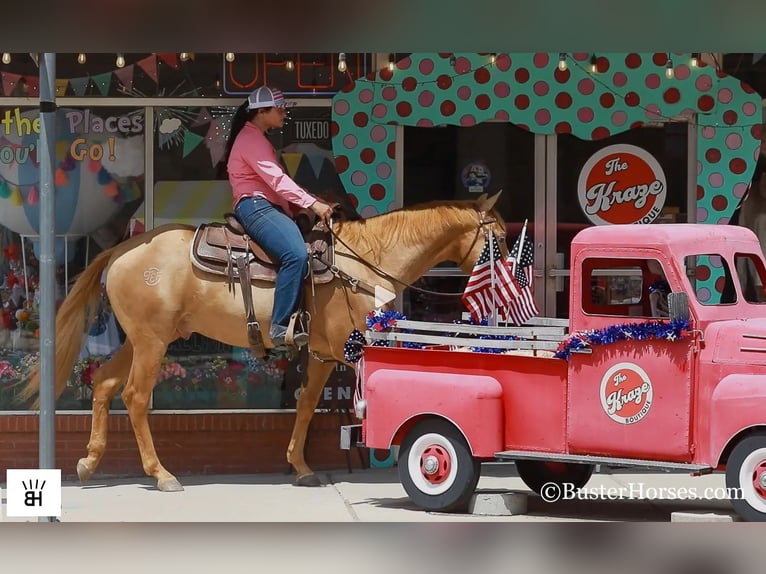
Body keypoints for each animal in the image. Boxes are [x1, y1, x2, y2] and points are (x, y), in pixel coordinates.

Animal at [18, 192, 508, 490]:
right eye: (500, 239)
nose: (514, 285)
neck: (367, 261)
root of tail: (121, 249)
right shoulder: (348, 349)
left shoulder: (322, 355)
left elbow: (308, 403)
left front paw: (301, 466)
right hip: (152, 344)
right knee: (136, 397)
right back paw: (161, 474)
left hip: (140, 340)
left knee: (103, 383)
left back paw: (88, 462)